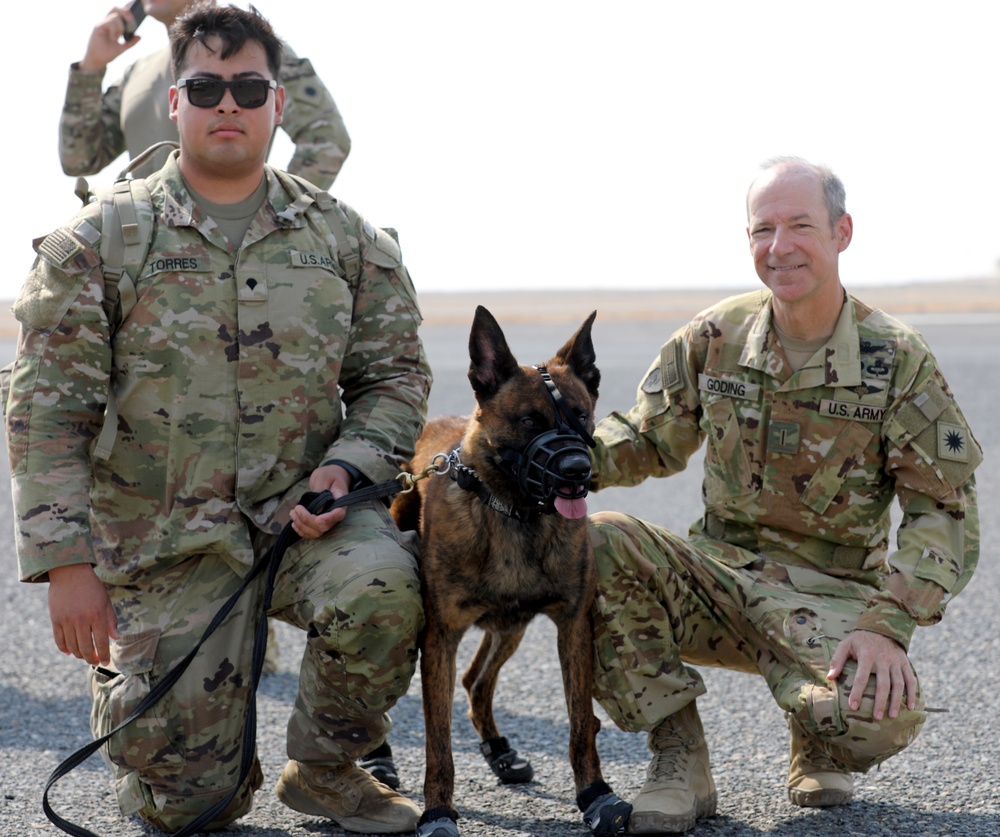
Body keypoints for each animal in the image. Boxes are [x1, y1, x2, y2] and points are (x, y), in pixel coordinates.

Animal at [392, 306, 632, 836]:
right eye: (528, 421)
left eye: (581, 415)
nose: (577, 470)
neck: (514, 515)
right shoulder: (439, 638)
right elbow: (438, 741)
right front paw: (438, 810)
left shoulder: (573, 627)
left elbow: (581, 725)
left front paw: (594, 794)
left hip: (512, 627)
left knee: (476, 682)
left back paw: (500, 752)